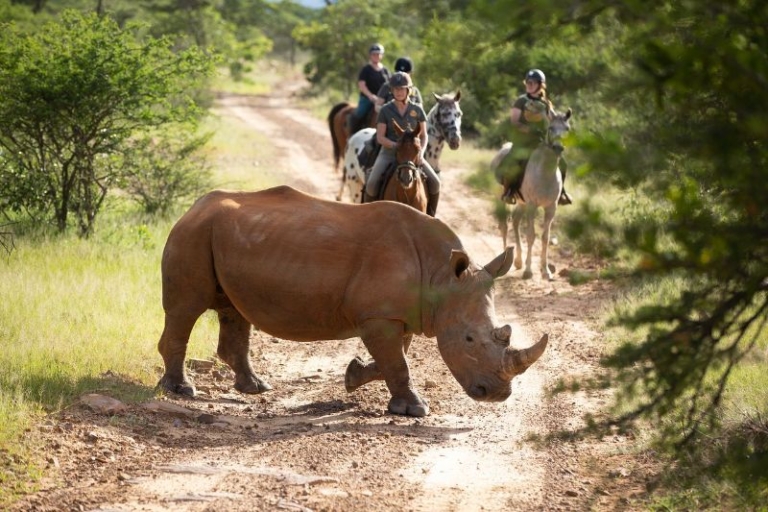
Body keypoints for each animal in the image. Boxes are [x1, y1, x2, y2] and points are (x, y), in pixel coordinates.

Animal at [157, 186, 548, 417]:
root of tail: (193, 206)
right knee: (186, 308)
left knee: (234, 311)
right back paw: (182, 390)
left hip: (220, 235)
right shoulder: (380, 316)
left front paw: (353, 375)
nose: (497, 395)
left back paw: (254, 387)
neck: (442, 277)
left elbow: (394, 359)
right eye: (468, 339)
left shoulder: (399, 313)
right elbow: (398, 363)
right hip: (193, 234)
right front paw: (415, 410)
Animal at [490, 109, 572, 281]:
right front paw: (528, 271)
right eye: (551, 128)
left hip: (522, 203)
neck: (545, 172)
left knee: (515, 222)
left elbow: (545, 237)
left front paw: (546, 271)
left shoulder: (551, 208)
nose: (558, 147)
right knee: (504, 226)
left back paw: (518, 261)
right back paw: (504, 261)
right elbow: (531, 235)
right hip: (503, 199)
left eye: (567, 129)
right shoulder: (532, 206)